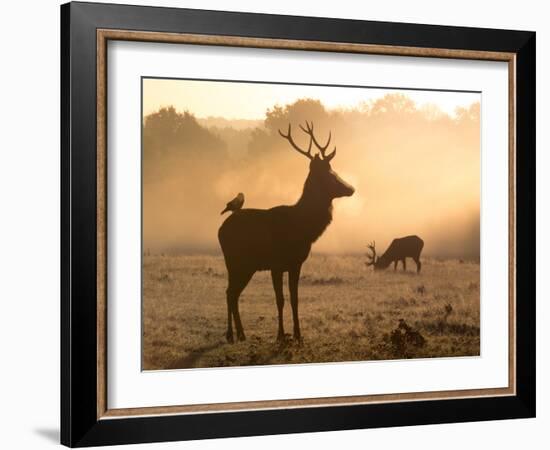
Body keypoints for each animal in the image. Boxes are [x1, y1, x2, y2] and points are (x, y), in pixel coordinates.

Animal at [218, 121, 356, 342]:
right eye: (329, 174)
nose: (351, 188)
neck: (302, 228)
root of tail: (220, 229)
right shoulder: (276, 264)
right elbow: (280, 299)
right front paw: (281, 335)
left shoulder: (296, 263)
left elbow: (294, 298)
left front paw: (298, 335)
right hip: (234, 261)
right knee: (230, 292)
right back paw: (232, 334)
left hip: (246, 266)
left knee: (233, 293)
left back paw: (241, 334)